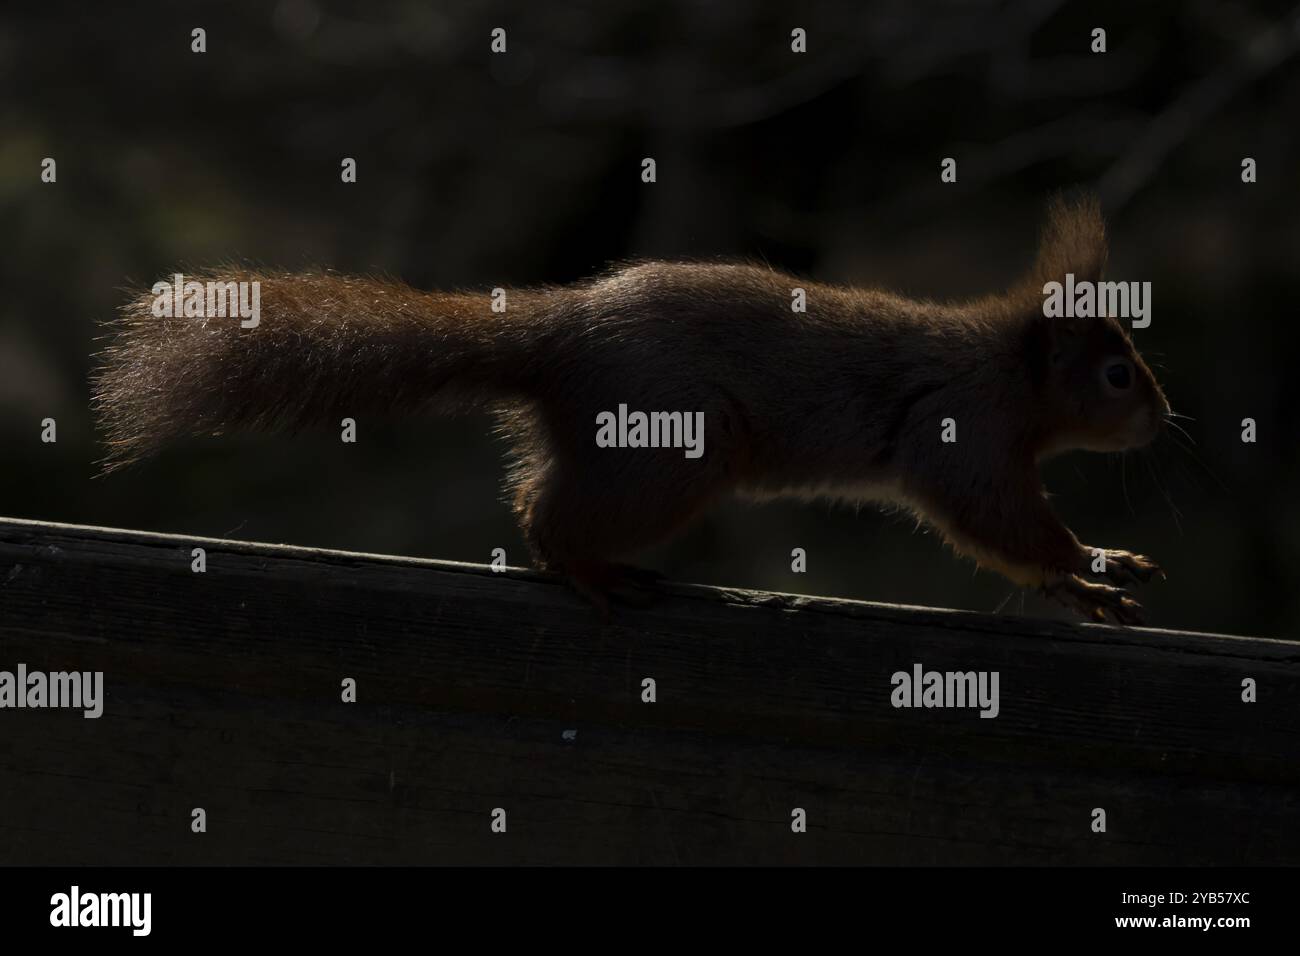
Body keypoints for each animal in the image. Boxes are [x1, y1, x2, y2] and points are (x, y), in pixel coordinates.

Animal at [94, 197, 1170, 624]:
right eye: (1117, 375)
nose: (1166, 418)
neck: (1009, 370)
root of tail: (560, 334)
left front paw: (1093, 578)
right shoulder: (966, 429)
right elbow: (994, 517)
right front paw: (1089, 563)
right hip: (675, 445)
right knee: (549, 516)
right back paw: (593, 572)